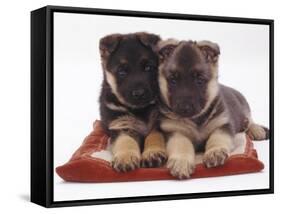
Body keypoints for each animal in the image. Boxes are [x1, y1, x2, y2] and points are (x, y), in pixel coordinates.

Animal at [98, 32, 166, 172]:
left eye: (148, 68)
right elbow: (125, 140)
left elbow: (154, 136)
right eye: (122, 72)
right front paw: (125, 157)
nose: (139, 94)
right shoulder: (121, 125)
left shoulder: (158, 123)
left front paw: (152, 153)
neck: (140, 109)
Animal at [156, 38, 268, 179]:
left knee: (249, 119)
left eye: (199, 80)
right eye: (173, 80)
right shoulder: (174, 131)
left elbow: (217, 137)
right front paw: (181, 161)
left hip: (244, 108)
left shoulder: (223, 125)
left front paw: (215, 151)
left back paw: (256, 129)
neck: (196, 120)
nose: (185, 108)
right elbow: (181, 144)